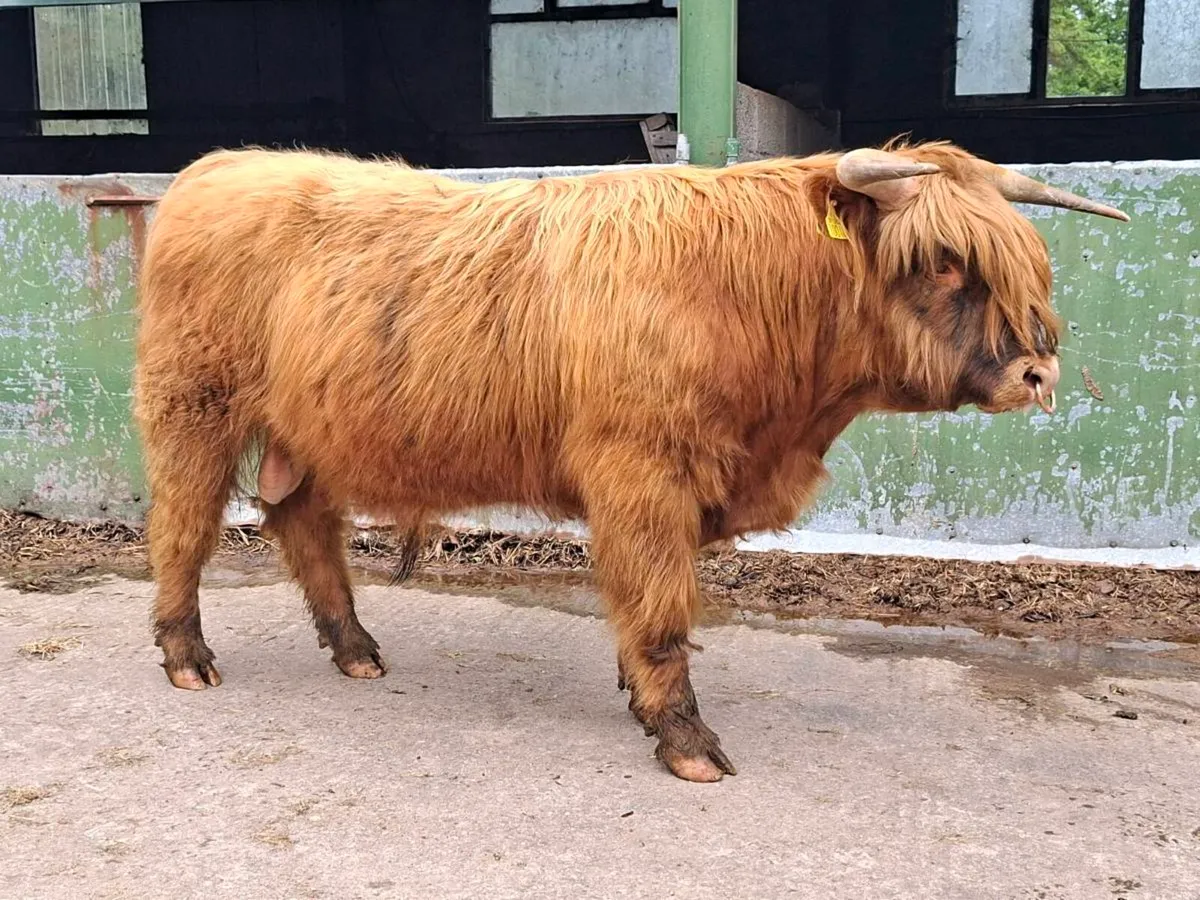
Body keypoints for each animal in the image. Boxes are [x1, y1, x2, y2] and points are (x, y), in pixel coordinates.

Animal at [132, 140, 1127, 782]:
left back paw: (356, 650)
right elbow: (658, 601)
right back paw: (187, 656)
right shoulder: (644, 473)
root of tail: (220, 166)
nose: (1038, 373)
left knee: (304, 522)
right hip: (194, 406)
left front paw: (638, 694)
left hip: (307, 428)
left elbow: (652, 598)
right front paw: (683, 736)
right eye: (943, 260)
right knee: (181, 524)